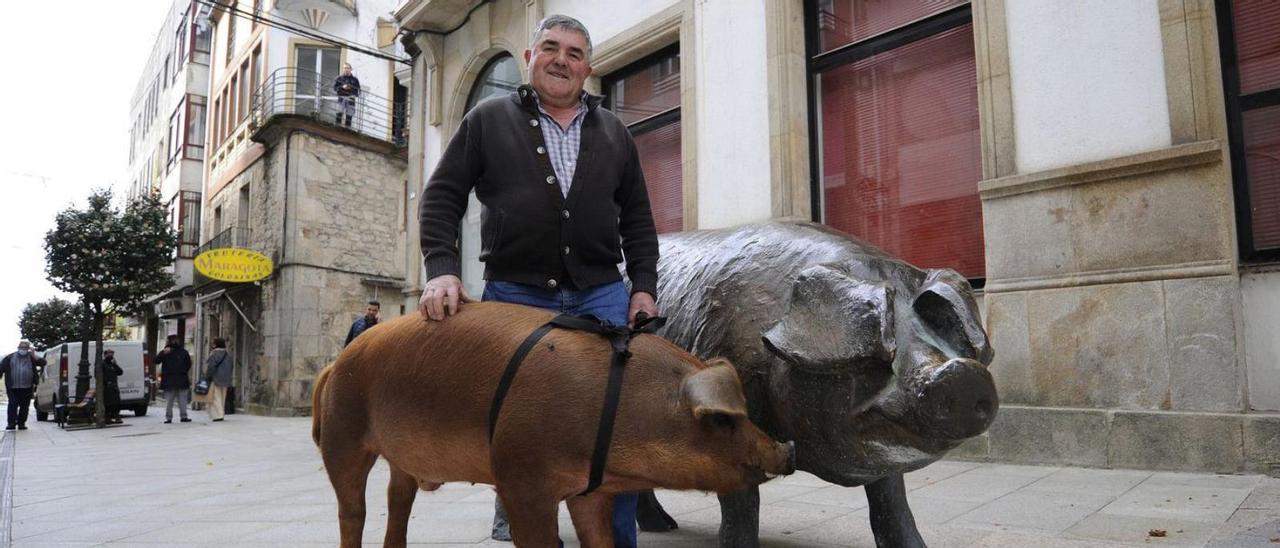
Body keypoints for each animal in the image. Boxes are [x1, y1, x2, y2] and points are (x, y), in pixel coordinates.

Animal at [312, 302, 788, 545]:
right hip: (342, 436)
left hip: (400, 458)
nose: (786, 448)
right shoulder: (520, 477)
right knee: (352, 510)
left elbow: (600, 537)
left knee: (398, 500)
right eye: (723, 419)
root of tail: (336, 363)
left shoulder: (589, 490)